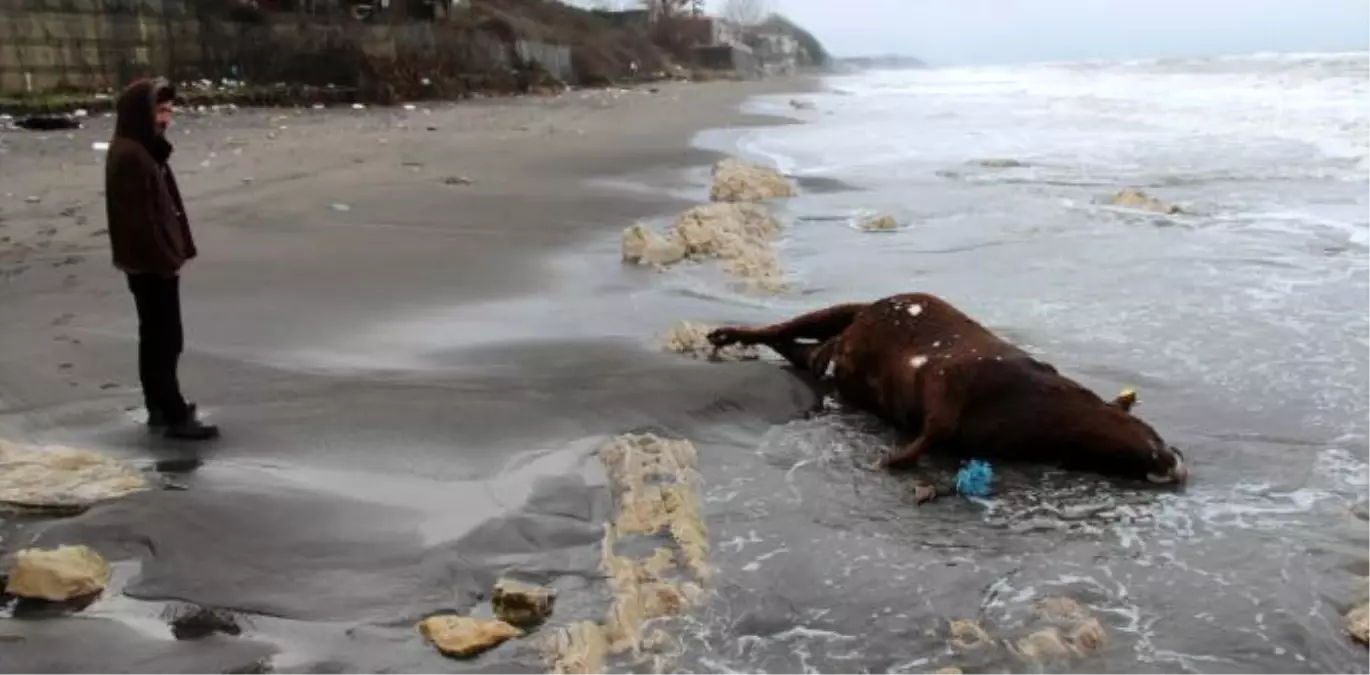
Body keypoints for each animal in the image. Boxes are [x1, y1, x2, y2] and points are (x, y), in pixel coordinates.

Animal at [706, 291, 1189, 487]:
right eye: (1153, 433)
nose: (1179, 464)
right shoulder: (952, 376)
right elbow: (936, 423)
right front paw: (892, 460)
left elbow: (937, 431)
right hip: (844, 311)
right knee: (781, 330)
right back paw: (727, 334)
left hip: (826, 349)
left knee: (797, 350)